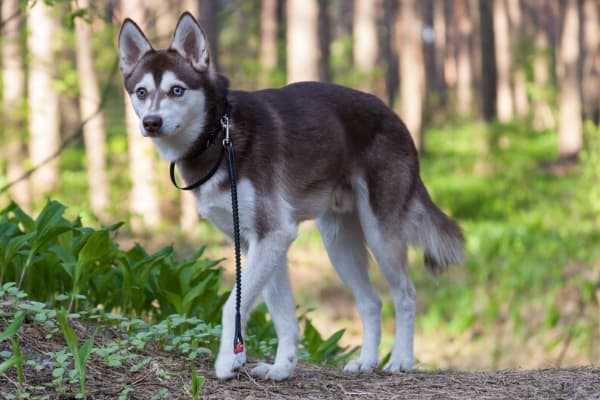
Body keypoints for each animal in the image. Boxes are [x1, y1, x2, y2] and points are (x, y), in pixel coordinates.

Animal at [117, 13, 464, 382]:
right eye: (141, 92)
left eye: (177, 90)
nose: (152, 122)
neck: (218, 137)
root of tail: (397, 118)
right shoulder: (257, 243)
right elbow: (281, 315)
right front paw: (281, 367)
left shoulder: (273, 235)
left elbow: (232, 306)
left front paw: (227, 361)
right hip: (338, 243)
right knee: (371, 302)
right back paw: (367, 361)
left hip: (380, 235)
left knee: (406, 294)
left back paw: (400, 359)